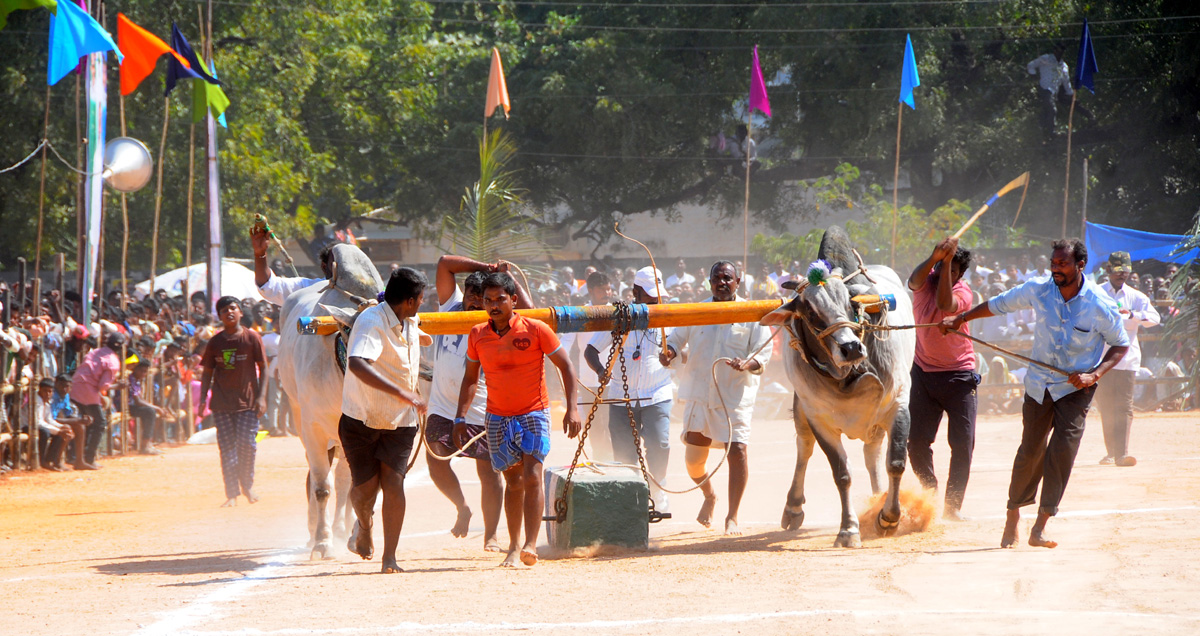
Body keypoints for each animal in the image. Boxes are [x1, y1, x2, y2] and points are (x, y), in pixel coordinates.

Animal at [277, 242, 381, 554]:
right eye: (352, 334)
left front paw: (351, 533)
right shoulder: (312, 429)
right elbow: (322, 486)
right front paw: (321, 541)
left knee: (346, 480)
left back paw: (341, 527)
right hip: (298, 415)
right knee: (318, 477)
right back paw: (317, 531)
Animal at [758, 224, 916, 544]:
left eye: (849, 302)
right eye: (809, 311)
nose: (852, 348)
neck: (849, 377)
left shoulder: (897, 404)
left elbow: (895, 462)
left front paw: (889, 517)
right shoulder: (820, 420)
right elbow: (842, 474)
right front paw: (848, 529)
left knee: (872, 455)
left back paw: (878, 499)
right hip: (802, 412)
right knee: (804, 449)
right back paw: (793, 508)